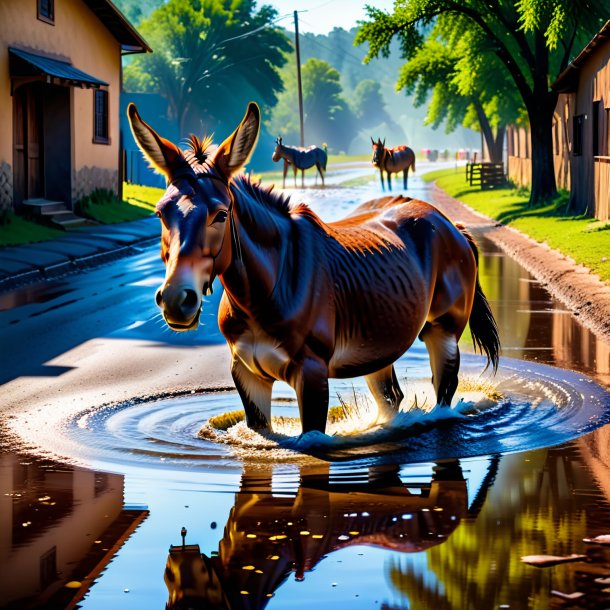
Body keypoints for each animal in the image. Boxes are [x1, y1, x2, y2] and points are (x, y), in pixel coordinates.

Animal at [126, 101, 496, 432]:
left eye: (220, 214)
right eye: (161, 213)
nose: (176, 300)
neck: (263, 293)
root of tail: (448, 222)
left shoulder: (313, 374)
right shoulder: (246, 373)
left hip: (443, 331)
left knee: (443, 392)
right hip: (378, 344)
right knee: (391, 398)